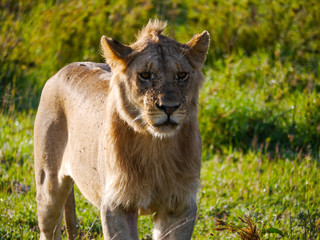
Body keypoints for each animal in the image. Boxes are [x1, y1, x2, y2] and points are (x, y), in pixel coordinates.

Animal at [33, 19, 210, 240]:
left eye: (182, 75)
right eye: (145, 75)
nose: (169, 107)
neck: (156, 146)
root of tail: (61, 70)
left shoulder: (179, 206)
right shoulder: (116, 205)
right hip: (48, 186)